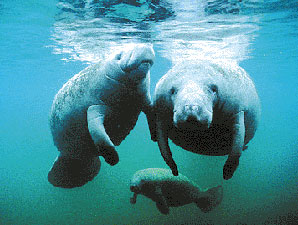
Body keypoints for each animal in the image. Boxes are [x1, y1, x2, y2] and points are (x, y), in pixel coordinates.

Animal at [47, 44, 155, 188]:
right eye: (119, 56)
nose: (144, 45)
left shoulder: (145, 100)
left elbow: (153, 112)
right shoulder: (94, 106)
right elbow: (97, 132)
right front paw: (113, 159)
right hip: (68, 151)